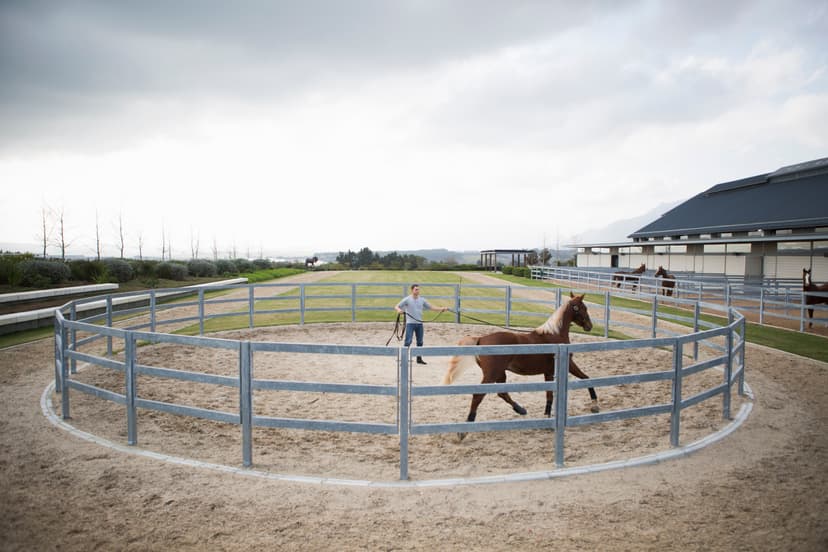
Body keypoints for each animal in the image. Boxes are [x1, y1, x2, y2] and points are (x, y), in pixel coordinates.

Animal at [441, 292, 599, 440]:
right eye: (584, 308)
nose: (589, 326)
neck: (555, 335)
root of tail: (481, 339)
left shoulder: (548, 372)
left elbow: (549, 395)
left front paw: (547, 418)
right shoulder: (568, 365)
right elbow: (586, 379)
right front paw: (595, 405)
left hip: (500, 373)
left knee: (502, 393)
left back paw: (520, 409)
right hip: (491, 375)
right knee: (478, 396)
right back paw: (464, 430)